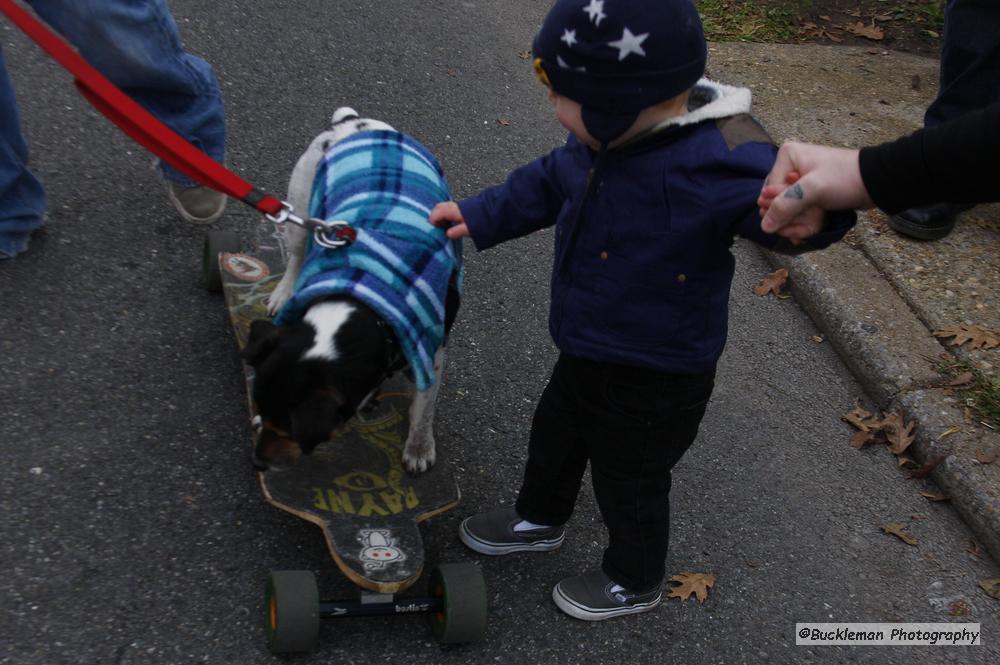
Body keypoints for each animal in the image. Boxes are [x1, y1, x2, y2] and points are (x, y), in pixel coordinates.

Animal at [242, 107, 460, 472]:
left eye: (288, 431)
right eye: (261, 409)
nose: (257, 464)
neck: (359, 300)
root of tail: (353, 122)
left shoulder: (429, 349)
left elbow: (424, 408)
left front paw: (419, 448)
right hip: (300, 212)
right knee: (296, 255)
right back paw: (283, 292)